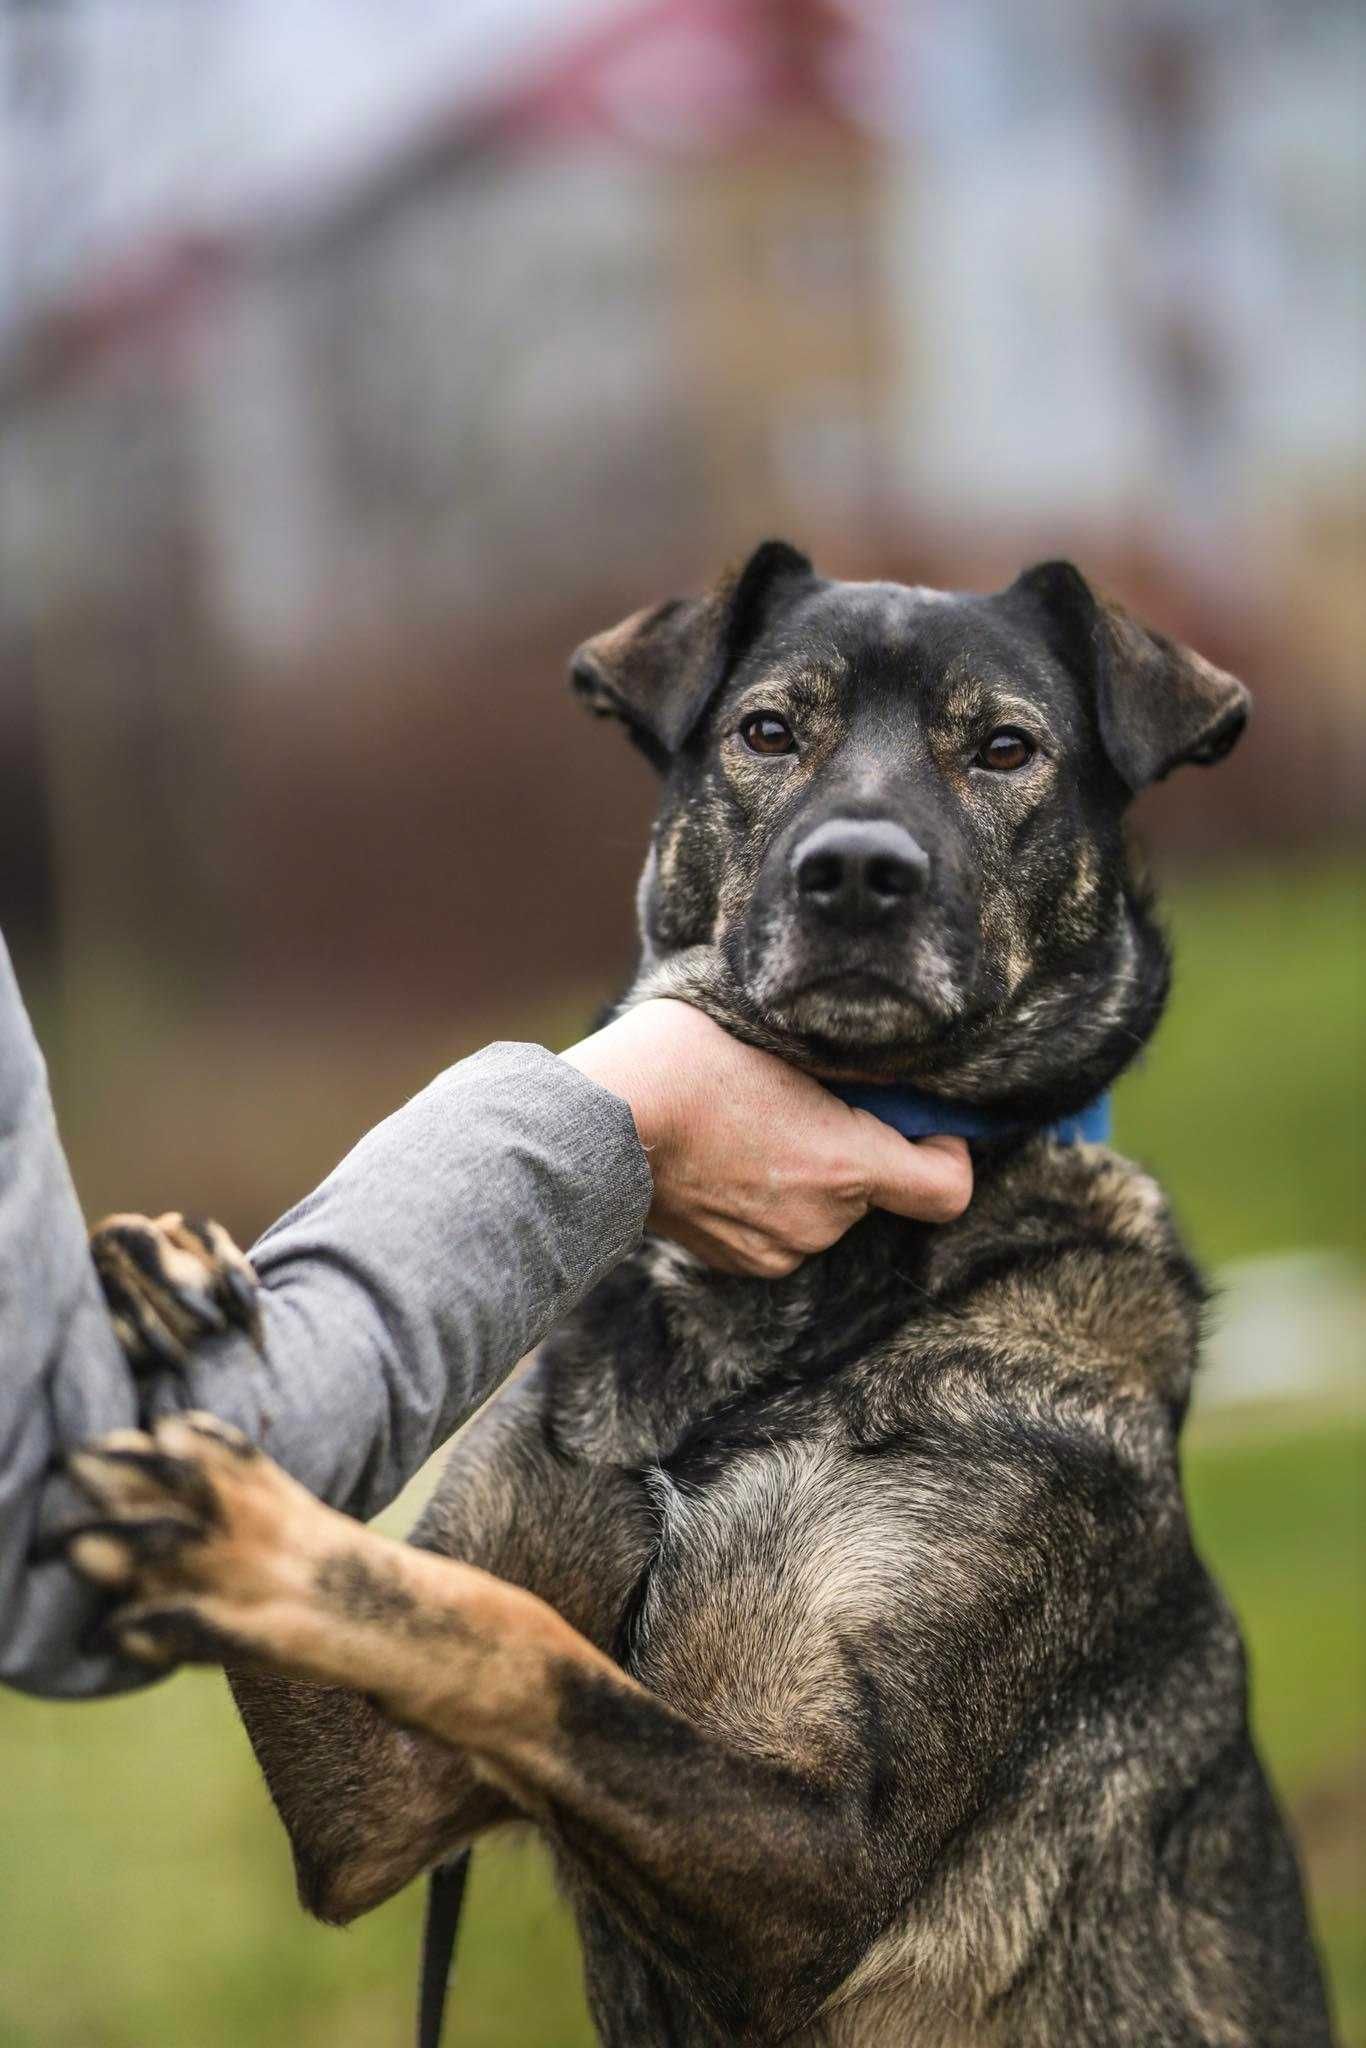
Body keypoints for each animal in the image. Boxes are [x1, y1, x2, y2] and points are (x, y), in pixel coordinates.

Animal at [69, 548, 1327, 2048]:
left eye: (1006, 750)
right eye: (767, 732)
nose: (857, 873)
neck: (767, 1322)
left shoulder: (825, 1868)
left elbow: (527, 1650)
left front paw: (245, 1533)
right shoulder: (385, 1804)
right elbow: (455, 1613)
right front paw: (154, 1265)